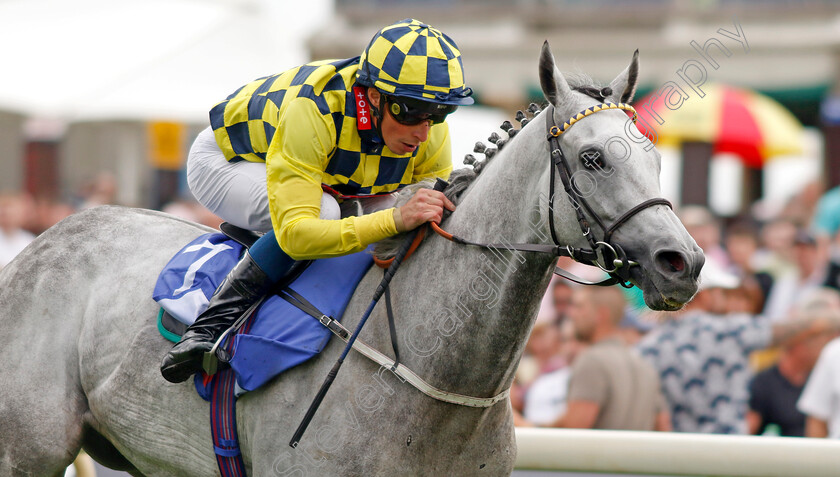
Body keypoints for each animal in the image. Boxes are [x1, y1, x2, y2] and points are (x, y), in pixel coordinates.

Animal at [0, 42, 704, 474]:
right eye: (594, 157)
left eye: (654, 152)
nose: (683, 262)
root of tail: (48, 236)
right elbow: (298, 227)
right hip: (27, 447)